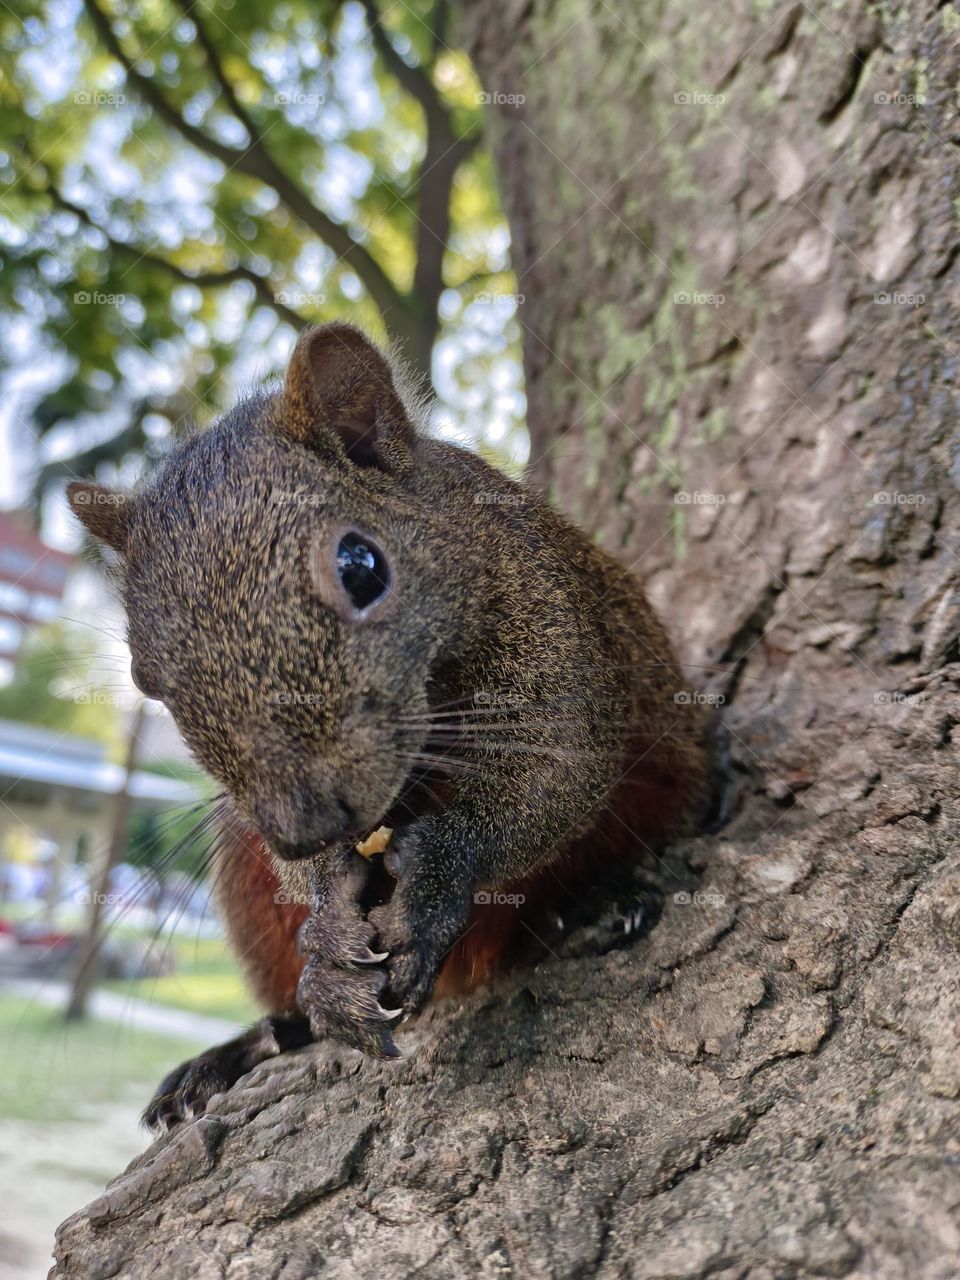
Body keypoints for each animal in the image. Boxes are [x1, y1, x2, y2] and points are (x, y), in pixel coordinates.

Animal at [66, 323, 715, 1131]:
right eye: (142, 678)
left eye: (362, 565)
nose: (304, 828)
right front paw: (328, 928)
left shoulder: (547, 610)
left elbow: (559, 768)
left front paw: (436, 877)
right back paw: (245, 1047)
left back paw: (594, 909)